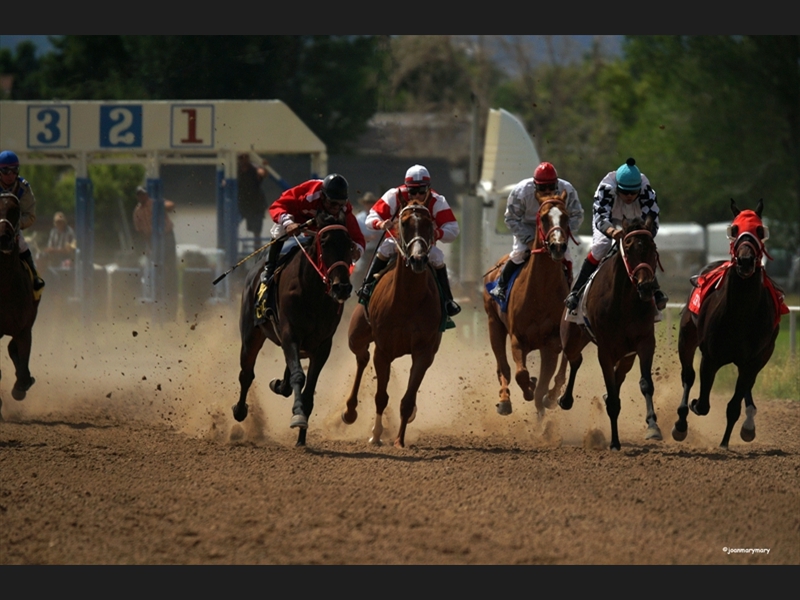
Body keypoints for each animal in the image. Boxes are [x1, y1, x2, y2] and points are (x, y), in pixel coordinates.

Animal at [233, 211, 354, 446]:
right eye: (325, 243)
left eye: (350, 244)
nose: (342, 287)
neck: (312, 293)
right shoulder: (290, 334)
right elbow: (299, 376)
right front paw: (298, 414)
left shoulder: (322, 345)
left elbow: (308, 388)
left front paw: (301, 437)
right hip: (251, 335)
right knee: (246, 373)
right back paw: (240, 410)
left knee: (284, 378)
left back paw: (279, 385)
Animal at [482, 191, 576, 418]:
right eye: (543, 217)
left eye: (566, 217)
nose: (557, 246)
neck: (540, 292)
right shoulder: (518, 339)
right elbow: (521, 374)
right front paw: (527, 389)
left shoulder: (551, 344)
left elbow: (541, 386)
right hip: (493, 325)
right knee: (504, 368)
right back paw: (504, 400)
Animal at [556, 216, 664, 450]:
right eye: (629, 248)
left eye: (653, 249)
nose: (646, 287)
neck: (624, 302)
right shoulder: (604, 350)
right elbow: (614, 398)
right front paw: (614, 442)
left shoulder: (644, 342)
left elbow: (645, 384)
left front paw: (653, 427)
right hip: (571, 338)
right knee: (575, 360)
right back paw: (564, 399)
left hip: (627, 355)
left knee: (618, 375)